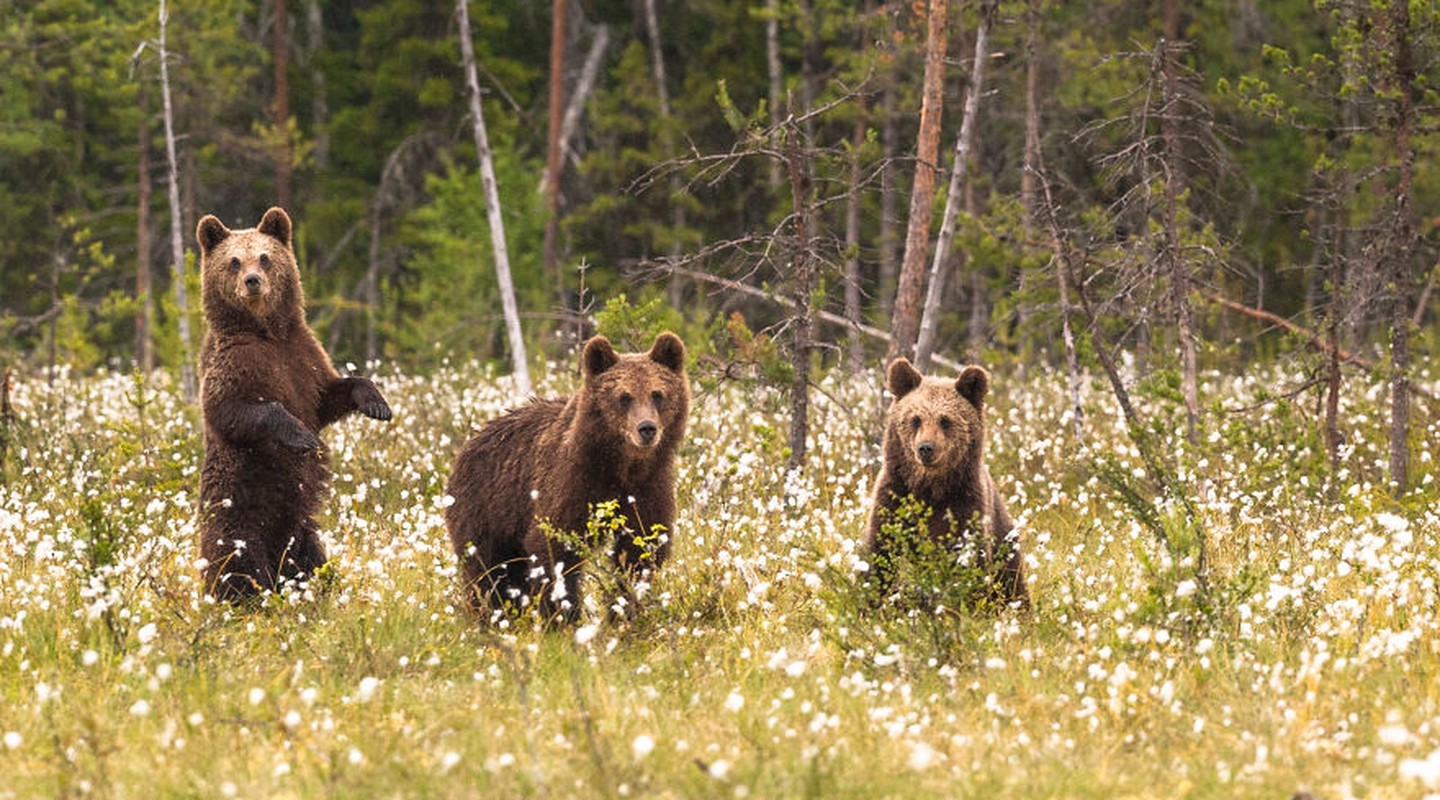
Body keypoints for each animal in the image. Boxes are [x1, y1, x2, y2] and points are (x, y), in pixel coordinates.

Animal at [197, 205, 391, 598]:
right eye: (234, 261)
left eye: (265, 257)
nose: (253, 281)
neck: (265, 332)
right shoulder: (233, 365)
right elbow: (232, 410)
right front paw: (301, 436)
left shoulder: (303, 358)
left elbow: (330, 395)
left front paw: (377, 404)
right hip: (237, 511)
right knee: (238, 563)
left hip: (301, 528)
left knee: (309, 559)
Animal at [446, 330, 688, 618]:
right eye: (624, 396)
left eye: (657, 394)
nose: (647, 428)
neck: (621, 467)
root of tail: (469, 444)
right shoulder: (573, 482)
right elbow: (554, 549)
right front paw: (562, 615)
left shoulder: (649, 486)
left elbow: (640, 548)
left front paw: (626, 611)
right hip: (486, 509)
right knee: (487, 572)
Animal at [858, 356, 1031, 607]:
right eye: (916, 419)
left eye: (945, 420)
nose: (926, 448)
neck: (930, 488)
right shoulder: (893, 496)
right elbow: (880, 550)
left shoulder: (964, 504)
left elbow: (969, 560)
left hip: (1005, 539)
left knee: (1012, 582)